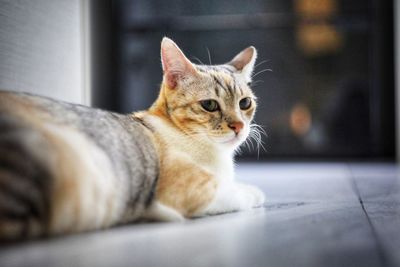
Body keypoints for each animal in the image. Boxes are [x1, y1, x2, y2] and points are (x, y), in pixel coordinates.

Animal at [0, 37, 266, 241]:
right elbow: (235, 191)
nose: (239, 126)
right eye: (209, 105)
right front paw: (252, 191)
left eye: (245, 103)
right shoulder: (191, 189)